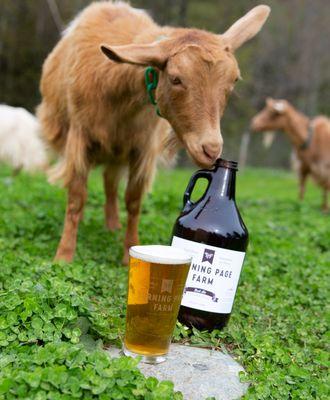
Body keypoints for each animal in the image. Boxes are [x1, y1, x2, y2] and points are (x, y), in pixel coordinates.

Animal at [38, 1, 270, 264]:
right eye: (176, 79)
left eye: (234, 80)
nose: (210, 149)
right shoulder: (80, 139)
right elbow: (77, 198)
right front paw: (63, 255)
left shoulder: (142, 148)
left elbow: (133, 201)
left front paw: (128, 252)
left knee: (110, 182)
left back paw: (113, 225)